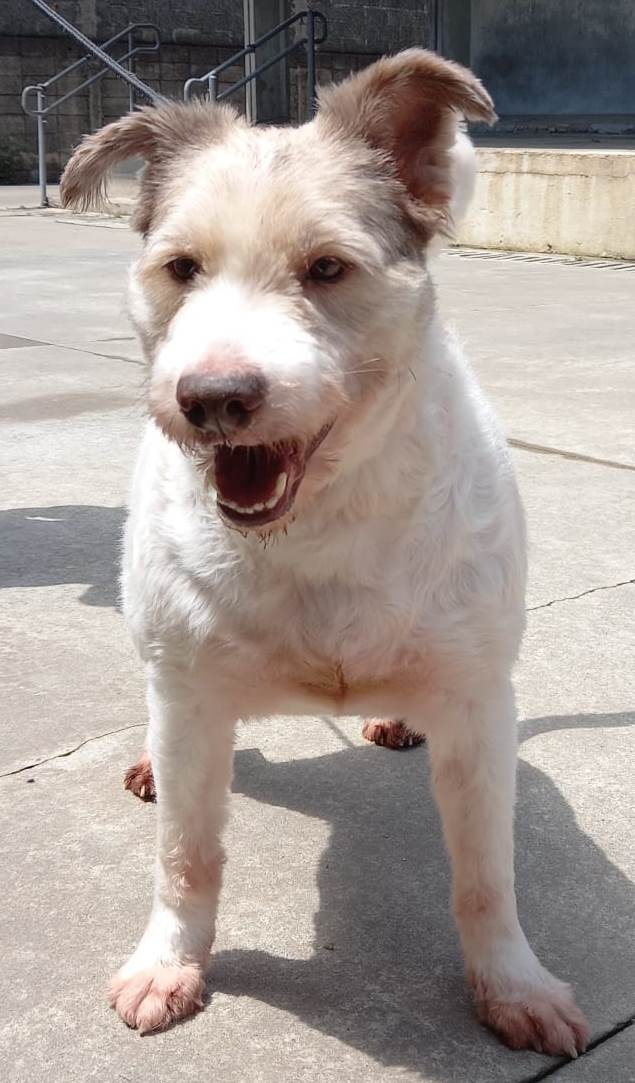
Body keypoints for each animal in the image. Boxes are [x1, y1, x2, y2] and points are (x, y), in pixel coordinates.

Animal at [60, 46, 589, 1052]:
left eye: (327, 267)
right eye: (180, 267)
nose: (211, 397)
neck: (319, 525)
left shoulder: (477, 707)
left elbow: (486, 876)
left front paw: (512, 983)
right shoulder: (192, 703)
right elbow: (185, 854)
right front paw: (169, 961)